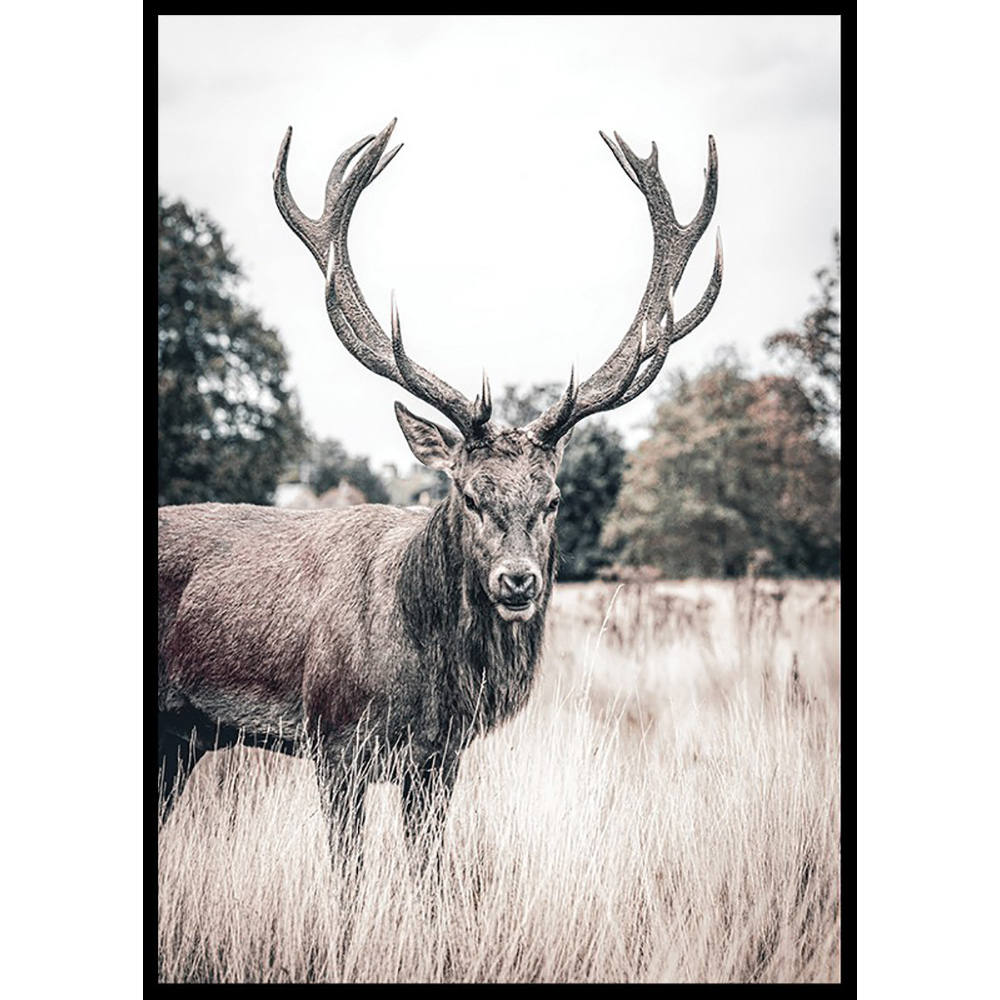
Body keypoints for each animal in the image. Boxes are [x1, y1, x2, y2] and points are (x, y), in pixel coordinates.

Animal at [157, 119, 722, 867]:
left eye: (553, 500)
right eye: (469, 494)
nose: (518, 580)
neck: (429, 682)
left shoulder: (439, 757)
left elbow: (428, 871)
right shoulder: (334, 741)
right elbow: (349, 875)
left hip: (180, 737)